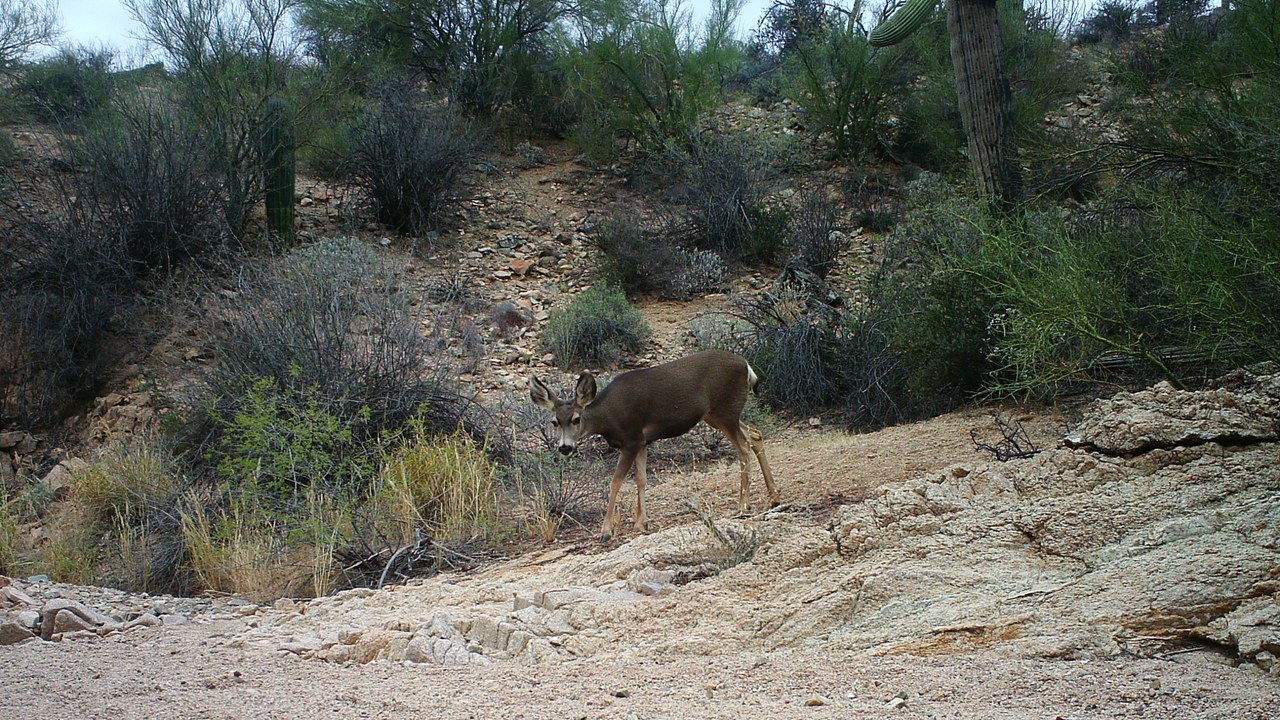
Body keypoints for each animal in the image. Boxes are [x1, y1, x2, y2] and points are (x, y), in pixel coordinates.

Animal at [529, 349, 779, 542]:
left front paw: (606, 531)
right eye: (554, 422)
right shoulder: (642, 442)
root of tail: (747, 366)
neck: (609, 417)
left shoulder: (631, 439)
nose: (565, 448)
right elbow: (641, 479)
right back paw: (773, 497)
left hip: (726, 409)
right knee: (755, 435)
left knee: (743, 448)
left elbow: (616, 482)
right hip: (717, 415)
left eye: (576, 419)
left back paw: (743, 505)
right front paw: (642, 523)